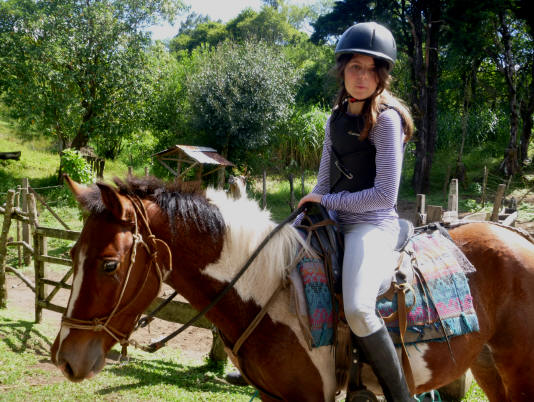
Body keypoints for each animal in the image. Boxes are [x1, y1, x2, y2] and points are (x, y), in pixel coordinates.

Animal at [51, 177, 534, 402]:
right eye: (72, 253)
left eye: (109, 264)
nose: (66, 359)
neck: (268, 293)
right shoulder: (273, 396)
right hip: (488, 367)